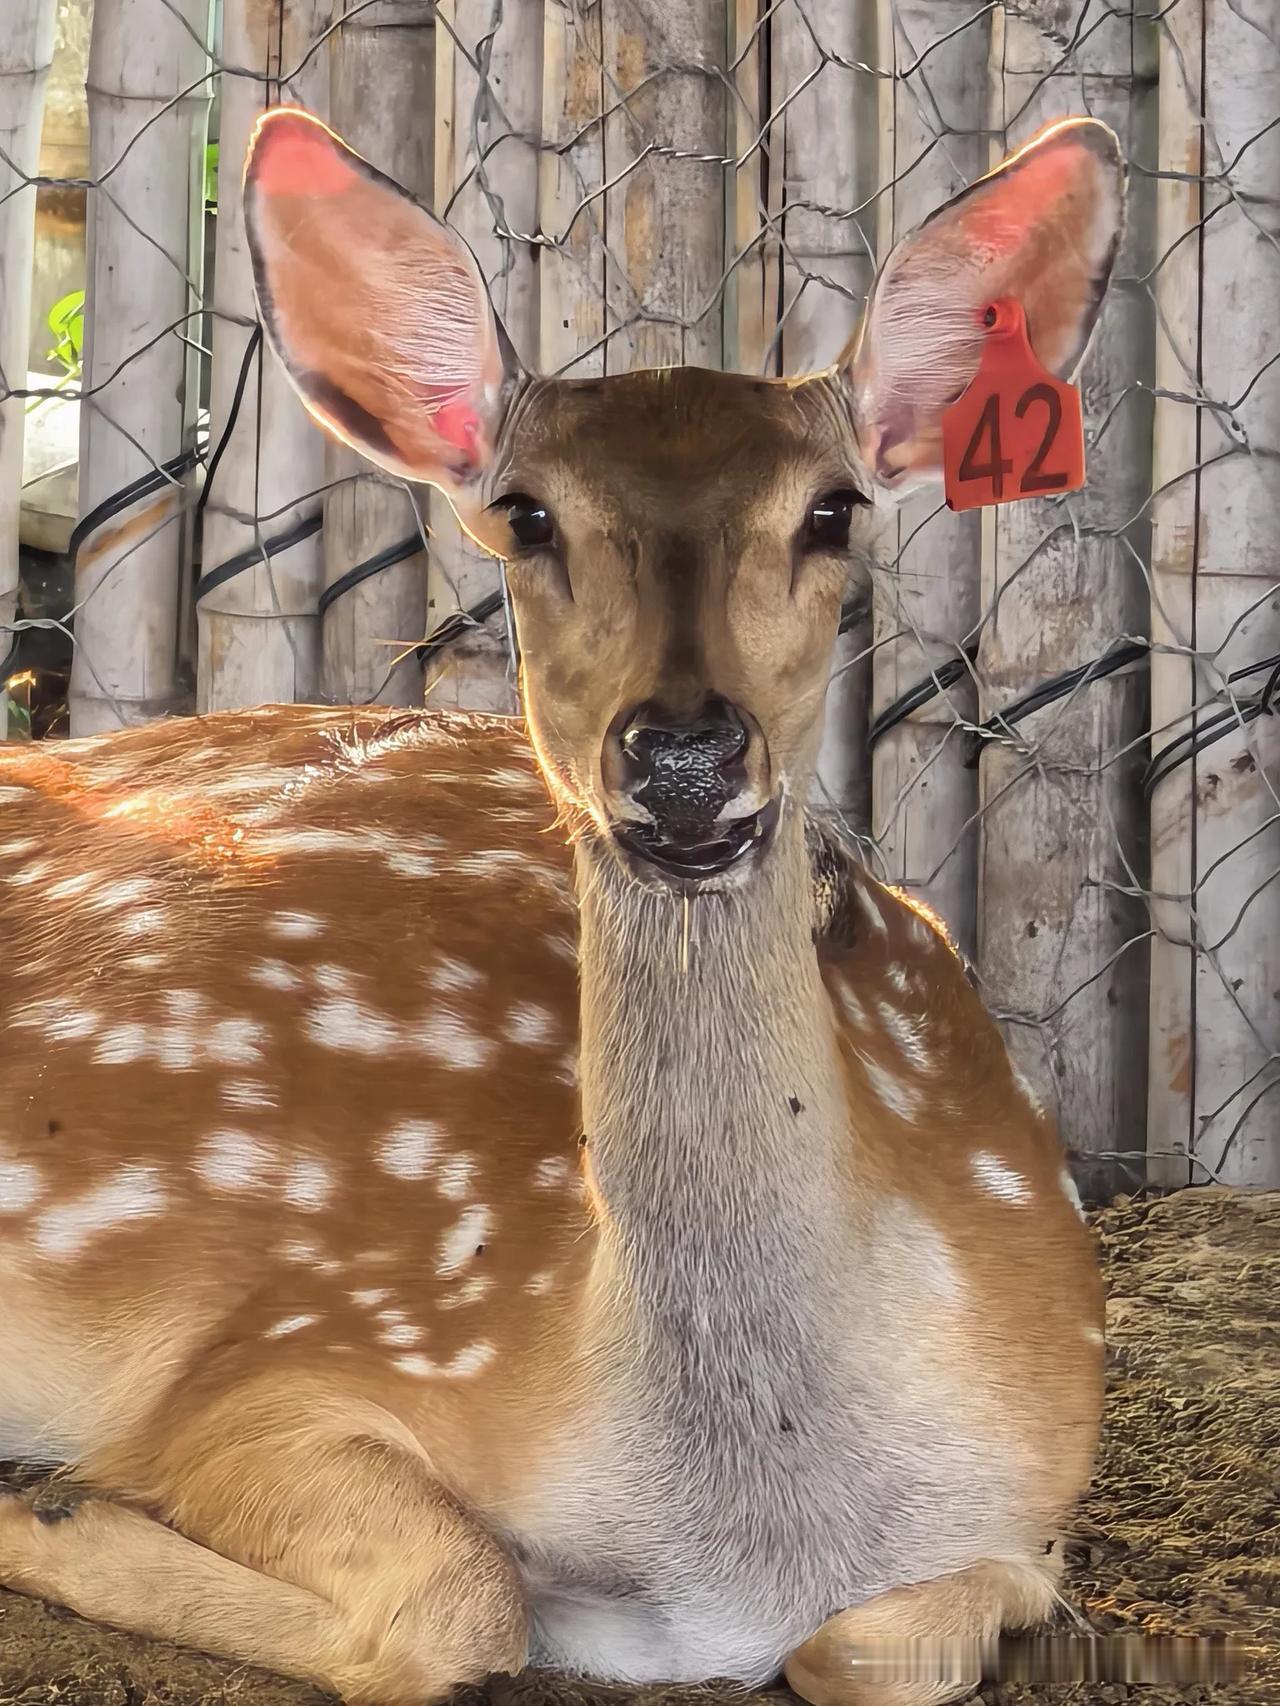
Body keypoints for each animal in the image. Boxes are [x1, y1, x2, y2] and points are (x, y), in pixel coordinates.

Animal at [0, 111, 1121, 1706]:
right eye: (526, 512)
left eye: (831, 509)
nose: (684, 753)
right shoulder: (274, 1359)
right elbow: (467, 1596)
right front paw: (50, 1511)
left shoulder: (1036, 1498)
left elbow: (868, 1648)